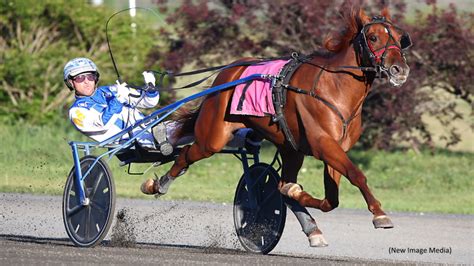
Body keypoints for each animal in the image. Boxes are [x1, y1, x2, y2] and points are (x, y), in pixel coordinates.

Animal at [149, 7, 412, 245]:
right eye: (373, 37)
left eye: (401, 38)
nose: (399, 70)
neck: (334, 87)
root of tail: (228, 72)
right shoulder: (323, 144)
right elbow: (356, 175)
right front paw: (379, 214)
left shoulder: (335, 149)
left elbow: (330, 200)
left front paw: (295, 193)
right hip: (213, 136)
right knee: (186, 154)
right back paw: (158, 185)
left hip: (291, 148)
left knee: (284, 181)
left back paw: (309, 224)